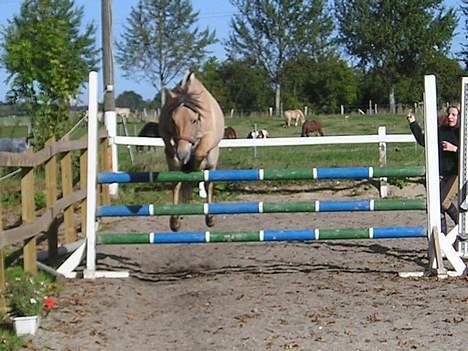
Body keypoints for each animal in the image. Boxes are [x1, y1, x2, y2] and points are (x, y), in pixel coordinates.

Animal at [159, 71, 225, 231]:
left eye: (194, 120)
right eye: (173, 121)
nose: (182, 154)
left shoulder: (208, 139)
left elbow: (199, 156)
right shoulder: (167, 138)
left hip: (213, 161)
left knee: (208, 183)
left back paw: (209, 218)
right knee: (179, 184)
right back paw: (177, 217)